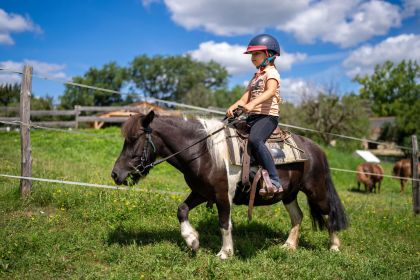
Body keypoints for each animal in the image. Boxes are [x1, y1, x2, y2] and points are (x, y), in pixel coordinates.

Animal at [110, 110, 348, 260]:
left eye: (134, 139)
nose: (115, 174)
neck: (204, 151)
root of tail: (315, 148)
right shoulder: (201, 192)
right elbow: (182, 210)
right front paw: (192, 241)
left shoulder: (223, 195)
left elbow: (224, 223)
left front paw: (225, 253)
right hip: (289, 194)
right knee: (298, 216)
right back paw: (289, 246)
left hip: (316, 190)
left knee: (329, 214)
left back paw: (335, 247)